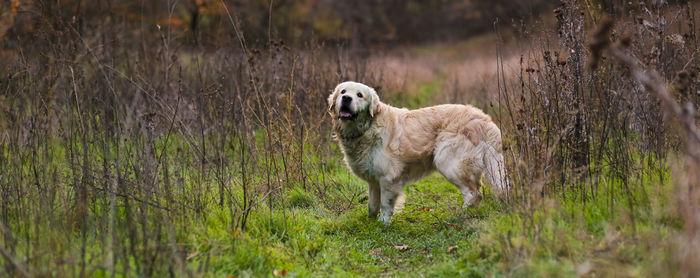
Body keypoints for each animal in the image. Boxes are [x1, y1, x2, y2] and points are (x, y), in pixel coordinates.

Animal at [326, 81, 506, 225]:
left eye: (359, 95)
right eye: (343, 91)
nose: (346, 98)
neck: (368, 127)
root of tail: (483, 119)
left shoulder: (388, 177)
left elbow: (385, 203)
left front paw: (383, 223)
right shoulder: (374, 179)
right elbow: (372, 204)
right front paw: (369, 222)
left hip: (448, 162)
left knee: (473, 193)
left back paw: (460, 215)